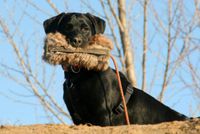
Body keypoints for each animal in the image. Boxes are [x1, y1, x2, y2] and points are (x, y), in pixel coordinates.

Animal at [43, 12, 188, 125]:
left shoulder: (102, 114)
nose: (76, 41)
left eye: (85, 29)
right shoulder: (78, 118)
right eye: (67, 27)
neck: (80, 75)